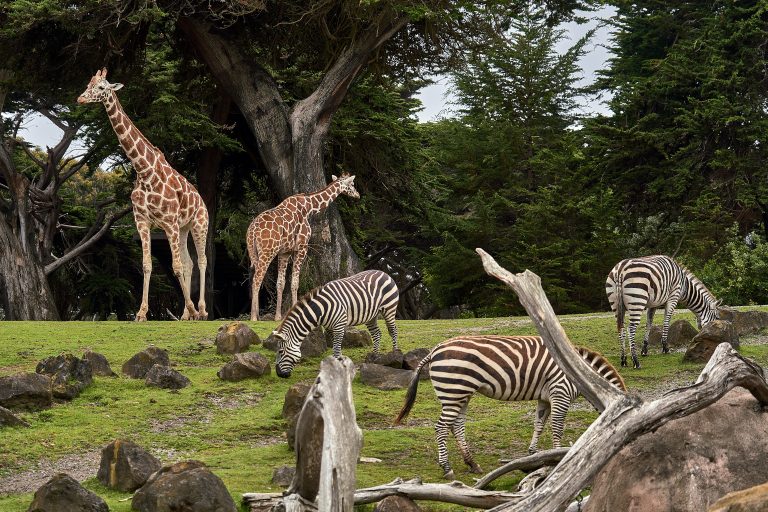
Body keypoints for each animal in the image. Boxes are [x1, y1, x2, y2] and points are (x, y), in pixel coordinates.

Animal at [77, 68, 209, 321]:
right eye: (88, 83)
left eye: (101, 87)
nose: (80, 99)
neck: (143, 170)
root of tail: (201, 200)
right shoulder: (142, 221)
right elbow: (148, 264)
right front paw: (141, 313)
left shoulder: (168, 222)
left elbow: (176, 266)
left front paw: (191, 308)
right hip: (184, 228)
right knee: (189, 262)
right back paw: (186, 315)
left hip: (199, 224)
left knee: (201, 260)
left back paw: (201, 310)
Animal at [246, 174, 360, 321]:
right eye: (352, 184)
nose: (358, 195)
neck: (309, 207)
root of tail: (252, 231)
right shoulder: (302, 247)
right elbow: (295, 283)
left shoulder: (285, 252)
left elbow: (280, 283)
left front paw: (278, 316)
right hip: (267, 252)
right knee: (257, 279)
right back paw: (254, 317)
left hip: (254, 252)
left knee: (254, 279)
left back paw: (256, 315)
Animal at [394, 335, 625, 479]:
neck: (580, 374)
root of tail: (434, 350)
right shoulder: (560, 393)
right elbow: (557, 428)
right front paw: (559, 457)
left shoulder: (545, 398)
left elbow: (539, 424)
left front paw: (533, 453)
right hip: (454, 390)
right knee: (441, 427)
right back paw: (447, 467)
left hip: (459, 394)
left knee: (456, 426)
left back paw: (472, 463)